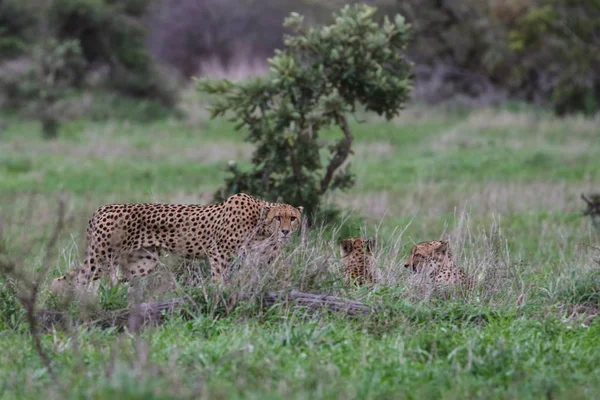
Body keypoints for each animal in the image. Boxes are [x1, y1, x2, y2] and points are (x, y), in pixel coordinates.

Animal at [50, 192, 304, 292]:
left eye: (292, 218)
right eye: (278, 218)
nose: (285, 231)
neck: (260, 225)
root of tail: (102, 208)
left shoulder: (265, 255)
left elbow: (280, 271)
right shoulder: (219, 253)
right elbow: (219, 278)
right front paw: (219, 293)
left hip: (143, 261)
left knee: (117, 282)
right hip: (101, 258)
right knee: (75, 280)